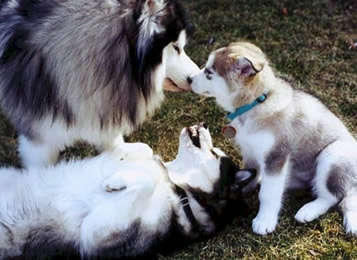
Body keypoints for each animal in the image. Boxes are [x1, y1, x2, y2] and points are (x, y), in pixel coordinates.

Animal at [0, 124, 256, 258]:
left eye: (214, 153)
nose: (203, 125)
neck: (179, 188)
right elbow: (146, 150)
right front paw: (123, 157)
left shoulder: (95, 234)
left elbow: (146, 181)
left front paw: (114, 181)